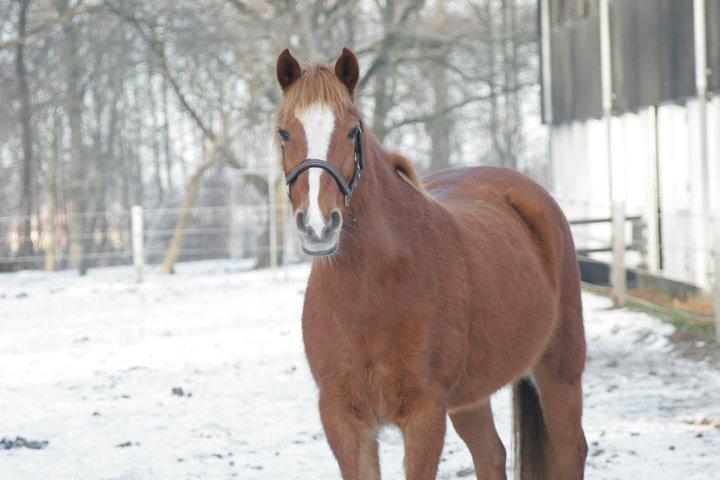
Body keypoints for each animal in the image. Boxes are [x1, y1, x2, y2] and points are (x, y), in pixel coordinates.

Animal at [272, 47, 588, 478]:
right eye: (283, 132)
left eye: (353, 130)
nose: (319, 226)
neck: (371, 293)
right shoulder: (343, 419)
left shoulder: (424, 414)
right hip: (472, 397)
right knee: (491, 454)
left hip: (559, 372)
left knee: (571, 450)